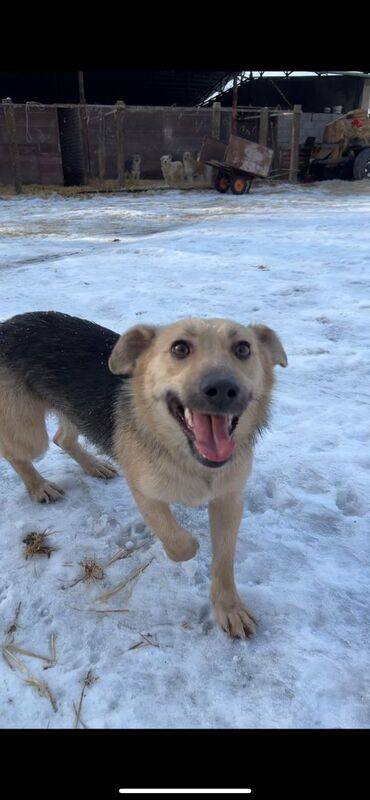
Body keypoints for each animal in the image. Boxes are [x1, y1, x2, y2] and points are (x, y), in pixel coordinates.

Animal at [0, 310, 288, 636]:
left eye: (243, 348)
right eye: (180, 348)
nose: (223, 389)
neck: (190, 458)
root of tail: (6, 325)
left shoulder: (229, 500)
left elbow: (224, 560)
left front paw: (229, 608)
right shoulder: (145, 493)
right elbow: (182, 544)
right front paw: (183, 550)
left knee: (63, 439)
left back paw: (94, 465)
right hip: (29, 432)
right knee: (16, 451)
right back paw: (39, 486)